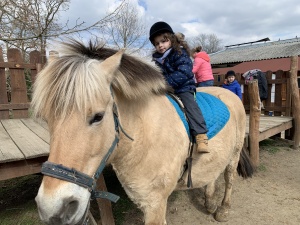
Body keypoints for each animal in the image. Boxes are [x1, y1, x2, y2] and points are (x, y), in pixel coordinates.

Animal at [32, 40, 253, 225]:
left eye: (98, 116)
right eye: (46, 118)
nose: (54, 210)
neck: (143, 136)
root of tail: (229, 93)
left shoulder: (156, 204)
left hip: (234, 154)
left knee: (229, 177)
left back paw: (223, 209)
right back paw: (209, 202)